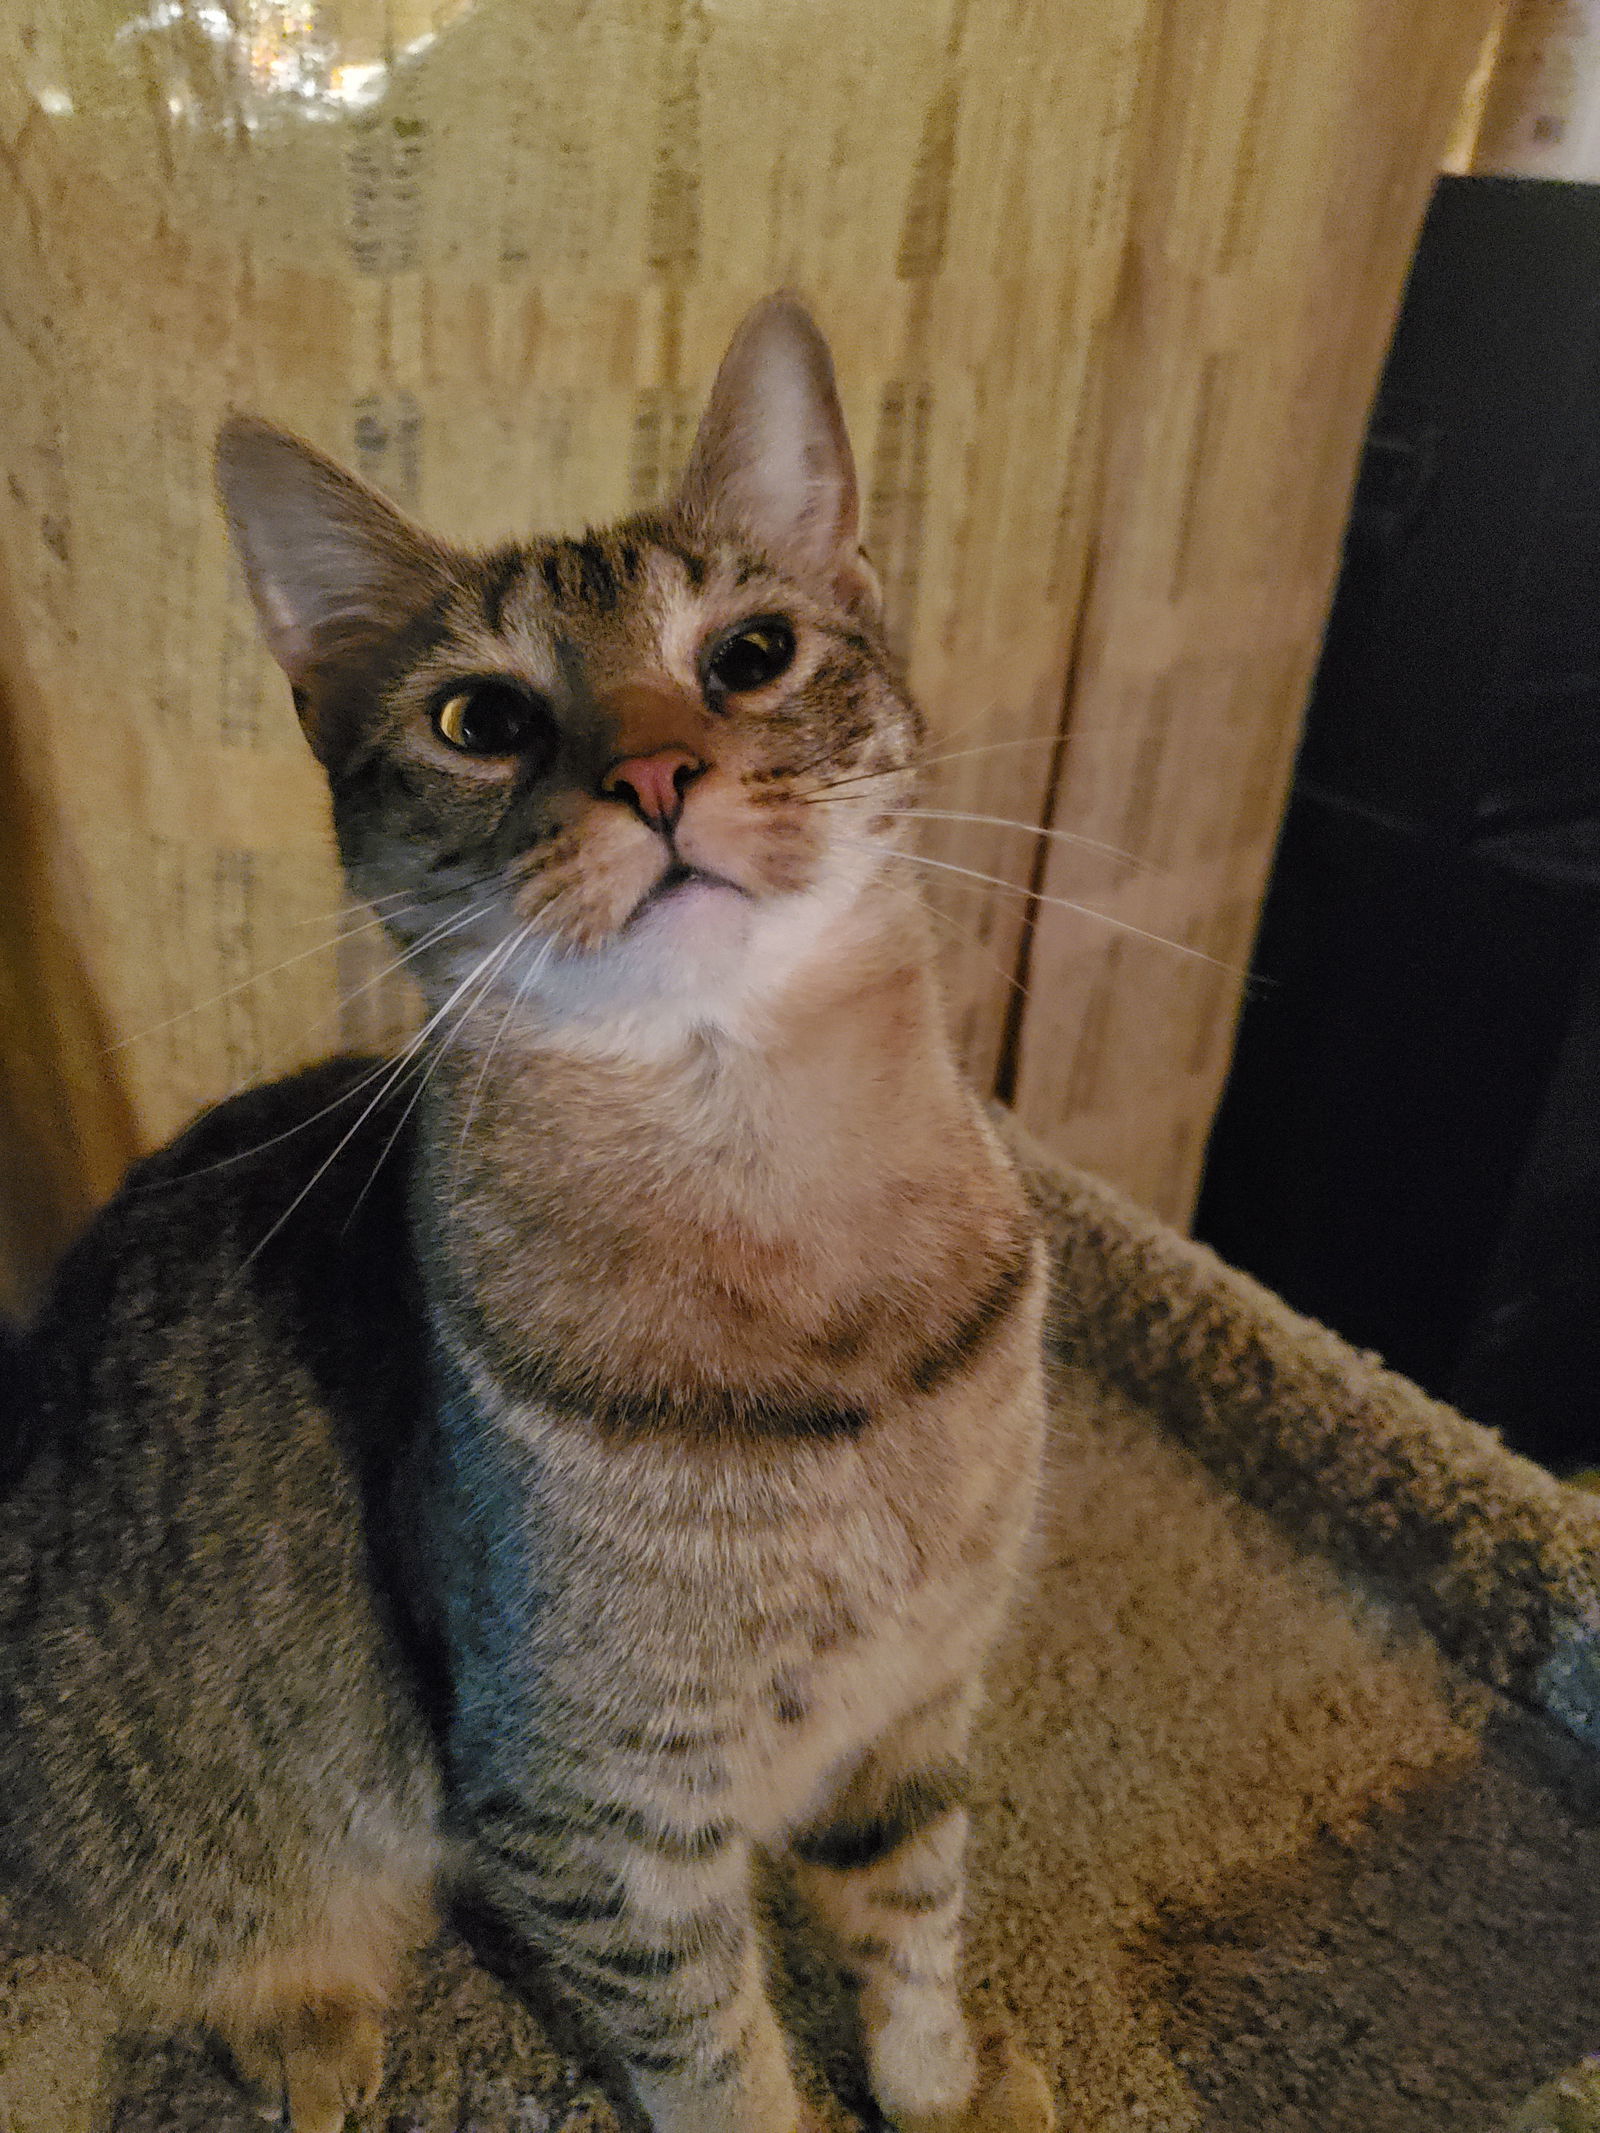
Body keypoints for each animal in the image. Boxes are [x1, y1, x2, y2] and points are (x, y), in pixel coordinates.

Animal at [0, 296, 1058, 2133]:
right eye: (480, 720)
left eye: (752, 653)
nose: (656, 771)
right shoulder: (591, 1814)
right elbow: (722, 2060)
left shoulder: (917, 1708)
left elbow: (917, 1928)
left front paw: (950, 2092)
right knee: (175, 1949)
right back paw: (311, 2028)